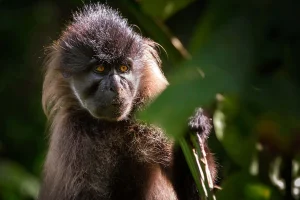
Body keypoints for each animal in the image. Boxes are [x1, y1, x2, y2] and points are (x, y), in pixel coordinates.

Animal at [39, 3, 216, 200]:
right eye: (100, 68)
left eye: (123, 68)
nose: (116, 86)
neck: (112, 126)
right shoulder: (72, 137)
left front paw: (197, 123)